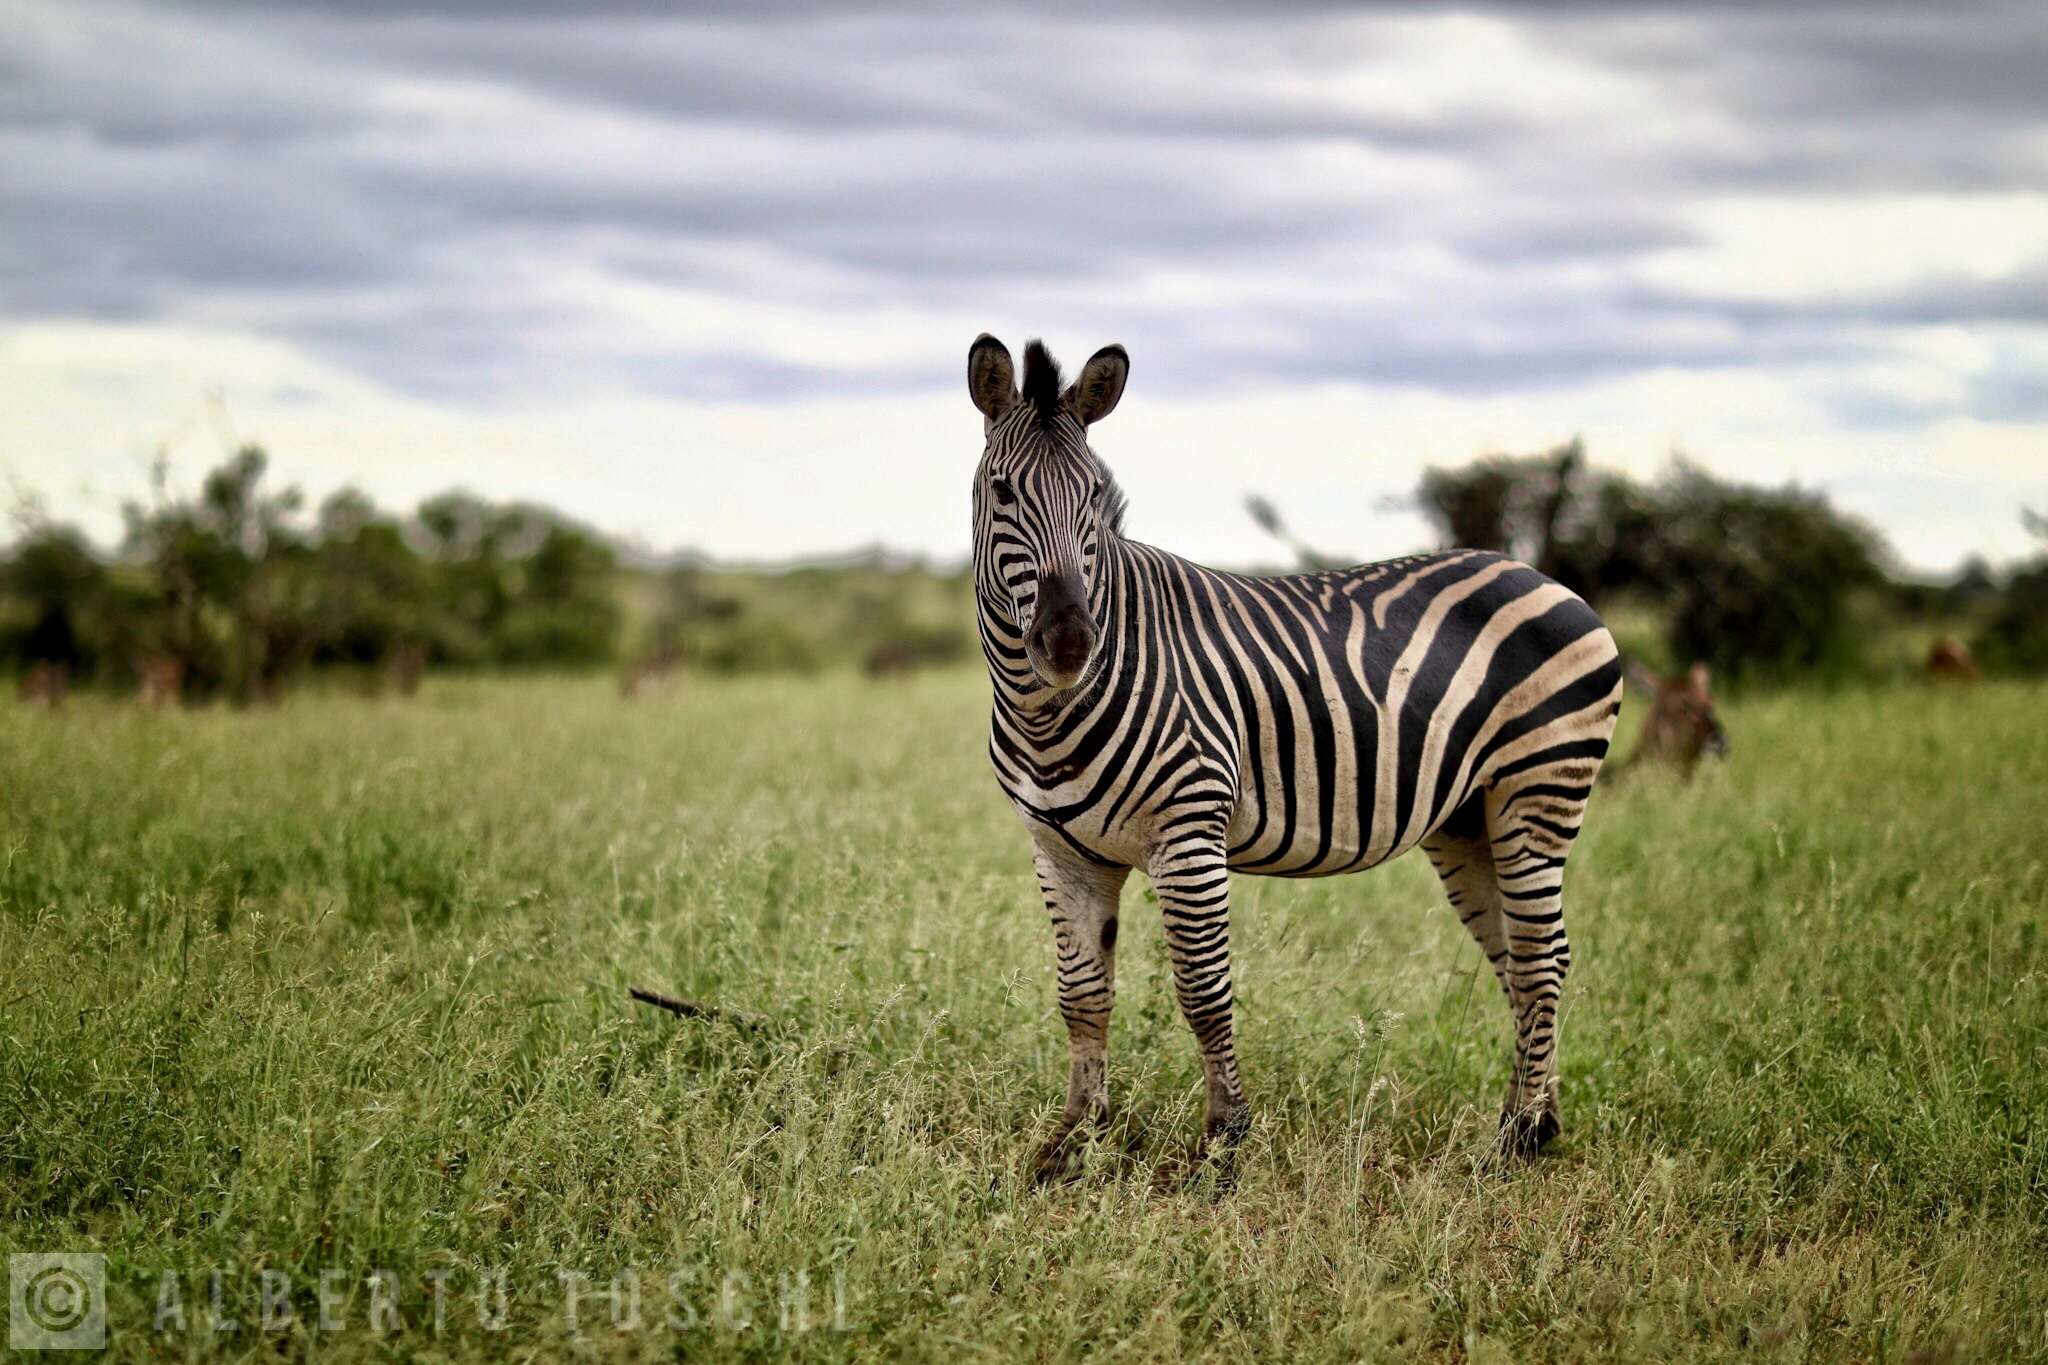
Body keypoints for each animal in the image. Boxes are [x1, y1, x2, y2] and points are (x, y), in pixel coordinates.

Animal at [965, 335, 1624, 1176]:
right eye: (1003, 491)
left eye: (1095, 497)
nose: (1070, 643)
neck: (1046, 709)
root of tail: (1544, 577)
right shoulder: (1062, 851)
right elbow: (1081, 997)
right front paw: (1073, 1142)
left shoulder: (1189, 833)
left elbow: (1204, 989)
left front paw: (1224, 1142)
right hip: (1468, 821)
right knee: (1518, 960)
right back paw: (1532, 1121)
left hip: (1537, 791)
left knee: (1543, 959)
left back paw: (1519, 1139)